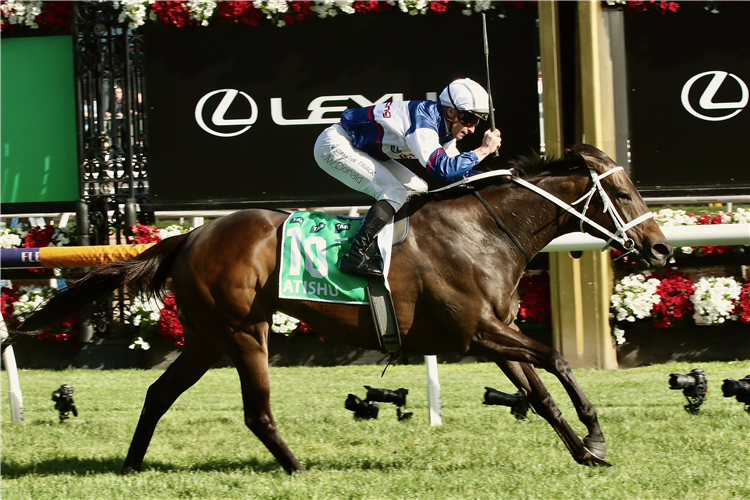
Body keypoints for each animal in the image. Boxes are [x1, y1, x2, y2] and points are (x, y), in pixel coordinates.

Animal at [2, 146, 676, 476]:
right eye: (621, 193)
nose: (661, 249)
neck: (485, 228)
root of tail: (188, 236)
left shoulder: (495, 331)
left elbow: (538, 393)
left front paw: (586, 451)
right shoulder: (476, 334)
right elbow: (557, 358)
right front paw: (595, 433)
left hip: (205, 339)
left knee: (157, 395)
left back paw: (132, 465)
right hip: (244, 334)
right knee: (256, 412)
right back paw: (296, 468)